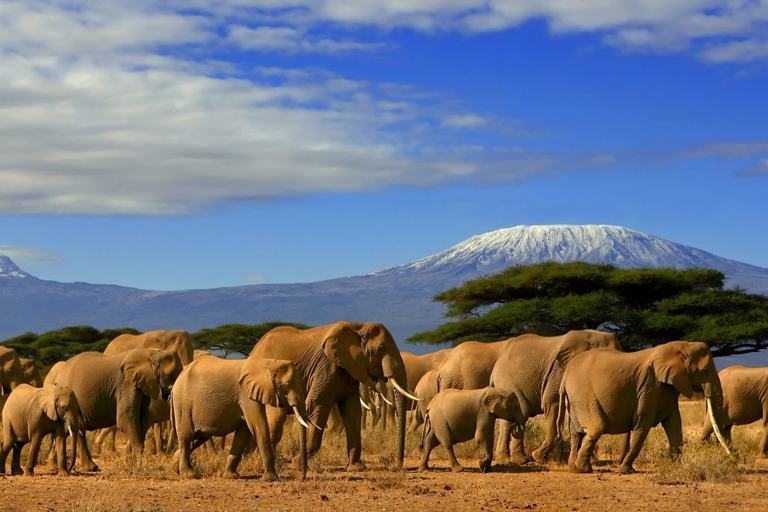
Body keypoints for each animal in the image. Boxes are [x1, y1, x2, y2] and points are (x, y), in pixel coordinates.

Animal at [46, 348, 183, 472]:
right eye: (171, 376)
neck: (153, 353)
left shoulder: (142, 386)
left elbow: (142, 419)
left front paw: (132, 464)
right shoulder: (126, 385)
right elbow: (125, 418)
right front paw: (137, 467)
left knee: (73, 429)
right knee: (76, 429)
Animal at [172, 356, 316, 480]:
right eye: (286, 385)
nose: (303, 476)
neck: (268, 363)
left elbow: (243, 433)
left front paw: (231, 476)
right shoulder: (246, 395)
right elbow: (259, 427)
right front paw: (271, 478)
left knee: (198, 438)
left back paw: (175, 466)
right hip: (183, 403)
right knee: (186, 436)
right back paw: (189, 475)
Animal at [249, 322, 416, 470]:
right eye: (381, 348)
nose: (397, 466)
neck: (359, 326)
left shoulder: (349, 369)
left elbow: (352, 411)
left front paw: (356, 467)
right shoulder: (327, 367)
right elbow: (318, 406)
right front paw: (297, 464)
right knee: (276, 420)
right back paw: (261, 463)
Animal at [492, 328, 624, 464]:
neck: (591, 336)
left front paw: (592, 461)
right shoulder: (559, 372)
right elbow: (552, 403)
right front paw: (538, 457)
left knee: (521, 416)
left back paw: (520, 460)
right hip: (507, 383)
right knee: (512, 418)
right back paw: (507, 460)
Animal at [560, 342, 728, 474]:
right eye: (705, 371)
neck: (682, 346)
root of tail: (565, 376)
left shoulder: (668, 388)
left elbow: (674, 424)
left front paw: (677, 468)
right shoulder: (649, 386)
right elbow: (642, 424)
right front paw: (625, 471)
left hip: (575, 398)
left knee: (576, 432)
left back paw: (575, 469)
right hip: (582, 394)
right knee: (596, 428)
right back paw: (582, 469)